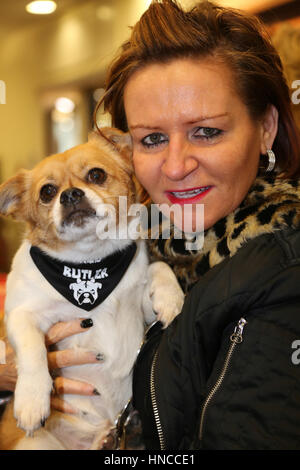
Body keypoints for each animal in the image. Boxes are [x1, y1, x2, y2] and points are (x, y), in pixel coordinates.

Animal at [0, 126, 184, 450]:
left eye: (96, 175)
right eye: (47, 192)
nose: (70, 194)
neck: (89, 262)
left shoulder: (142, 311)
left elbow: (158, 268)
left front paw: (170, 297)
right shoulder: (20, 315)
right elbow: (33, 348)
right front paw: (32, 399)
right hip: (36, 444)